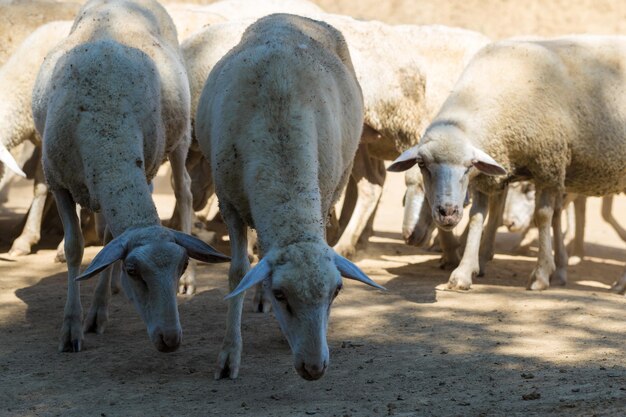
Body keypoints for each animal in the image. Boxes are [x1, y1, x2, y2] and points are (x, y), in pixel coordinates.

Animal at [31, 0, 227, 354]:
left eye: (183, 264)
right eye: (133, 270)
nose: (170, 339)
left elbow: (111, 239)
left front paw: (97, 313)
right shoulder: (57, 180)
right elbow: (75, 248)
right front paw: (71, 327)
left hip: (178, 138)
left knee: (184, 192)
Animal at [195, 13, 382, 378]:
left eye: (337, 291)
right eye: (282, 294)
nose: (314, 367)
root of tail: (290, 16)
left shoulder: (322, 196)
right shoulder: (228, 202)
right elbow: (238, 272)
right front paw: (229, 353)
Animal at [388, 35, 624, 290]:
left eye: (468, 166)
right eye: (421, 164)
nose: (447, 212)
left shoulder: (549, 164)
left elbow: (542, 216)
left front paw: (541, 275)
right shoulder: (490, 173)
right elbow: (477, 218)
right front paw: (464, 272)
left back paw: (619, 284)